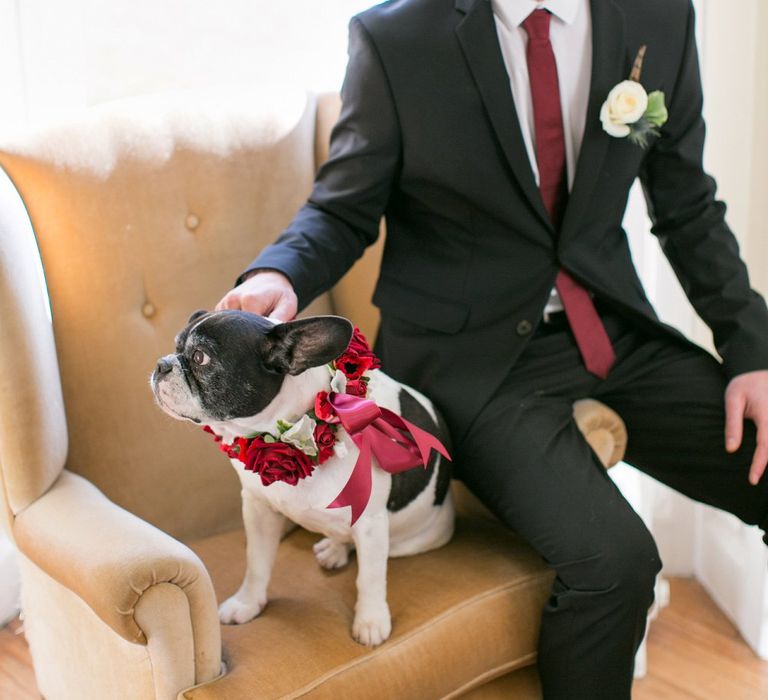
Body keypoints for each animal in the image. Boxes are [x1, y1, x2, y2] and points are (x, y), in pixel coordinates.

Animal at [148, 310, 456, 644]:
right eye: (176, 345)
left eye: (200, 357)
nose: (162, 364)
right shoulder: (258, 510)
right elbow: (257, 562)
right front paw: (247, 603)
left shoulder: (370, 523)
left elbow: (370, 577)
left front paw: (371, 621)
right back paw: (333, 548)